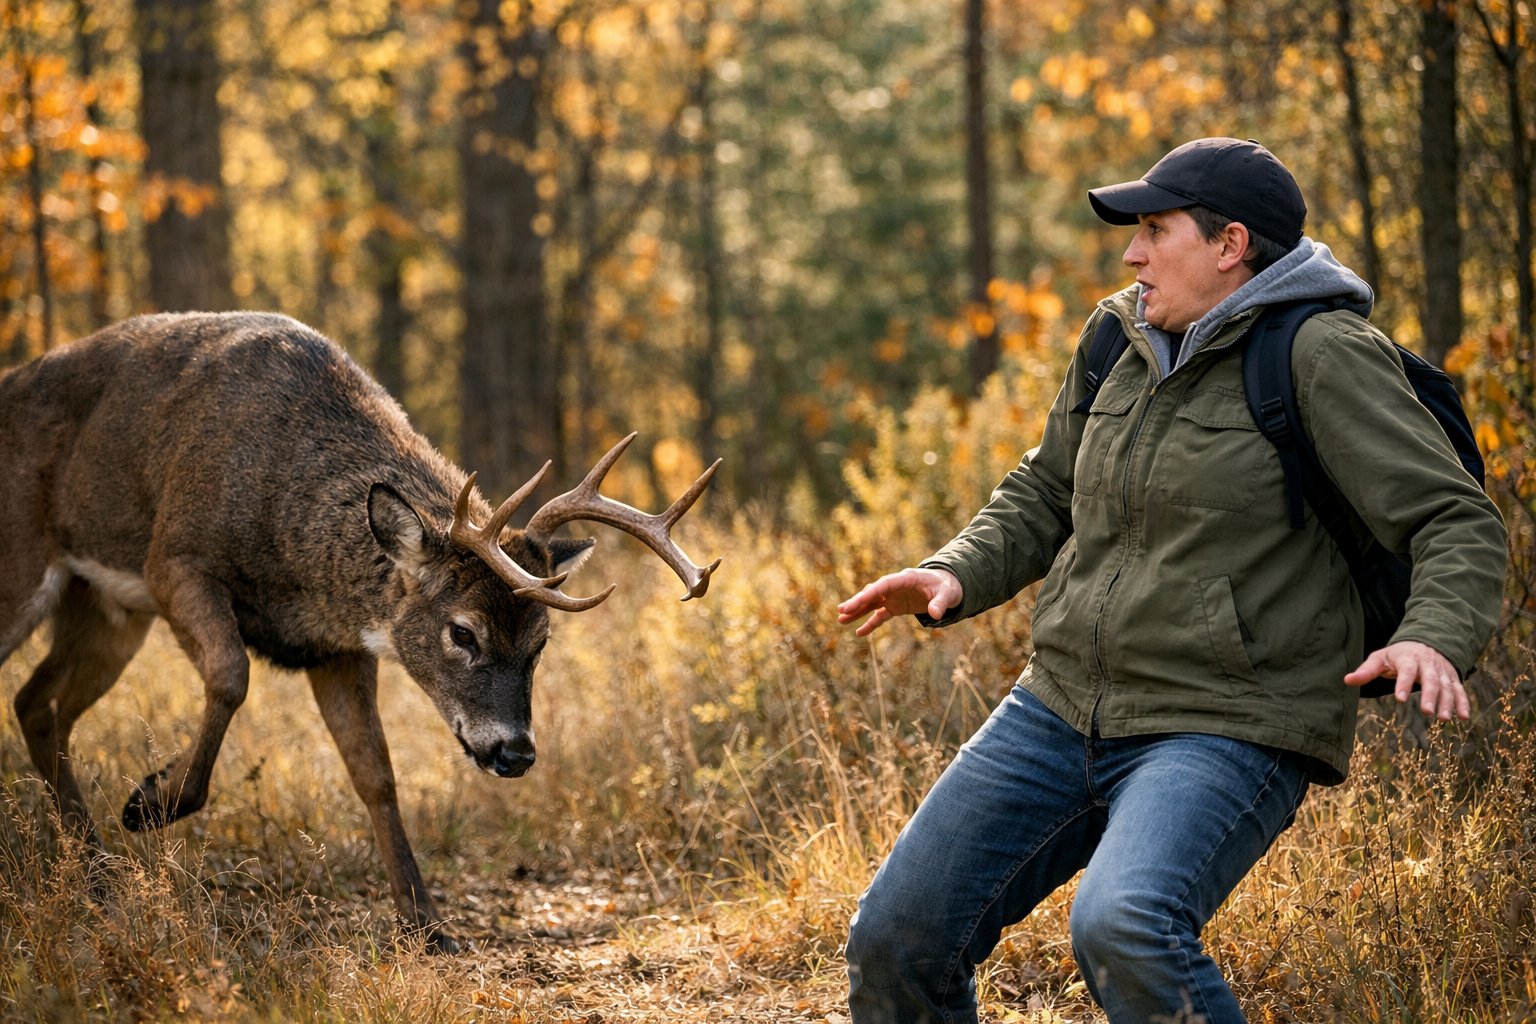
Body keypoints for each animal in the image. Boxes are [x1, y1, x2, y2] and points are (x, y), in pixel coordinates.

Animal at [0, 311, 720, 953]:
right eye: (463, 633)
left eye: (541, 642)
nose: (515, 753)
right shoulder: (174, 558)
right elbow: (231, 674)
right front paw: (151, 802)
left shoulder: (339, 649)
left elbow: (375, 771)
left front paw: (427, 925)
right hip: (34, 571)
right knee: (39, 694)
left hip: (108, 611)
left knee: (37, 703)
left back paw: (94, 868)